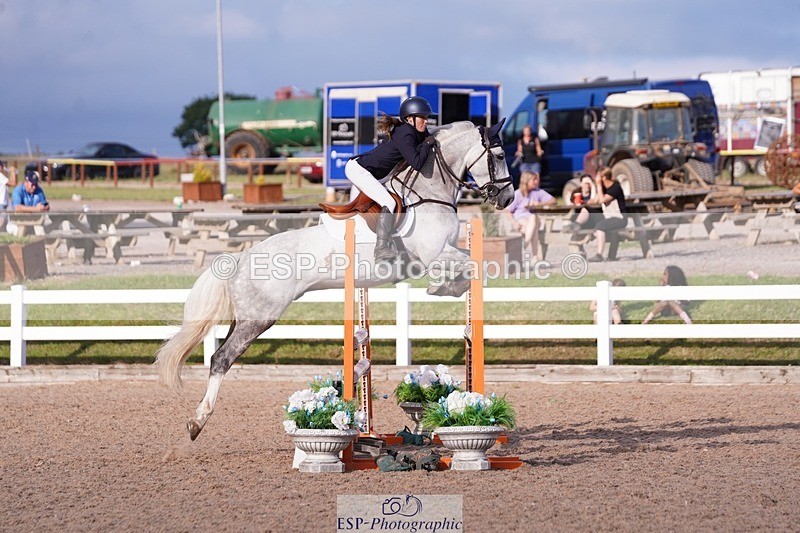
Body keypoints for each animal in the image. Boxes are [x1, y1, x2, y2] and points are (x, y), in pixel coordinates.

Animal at [156, 119, 515, 440]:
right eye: (499, 155)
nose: (507, 199)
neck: (429, 193)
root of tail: (241, 258)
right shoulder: (434, 256)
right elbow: (475, 267)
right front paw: (443, 286)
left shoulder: (446, 252)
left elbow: (473, 268)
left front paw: (448, 289)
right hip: (259, 317)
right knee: (221, 358)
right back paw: (197, 422)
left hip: (245, 316)